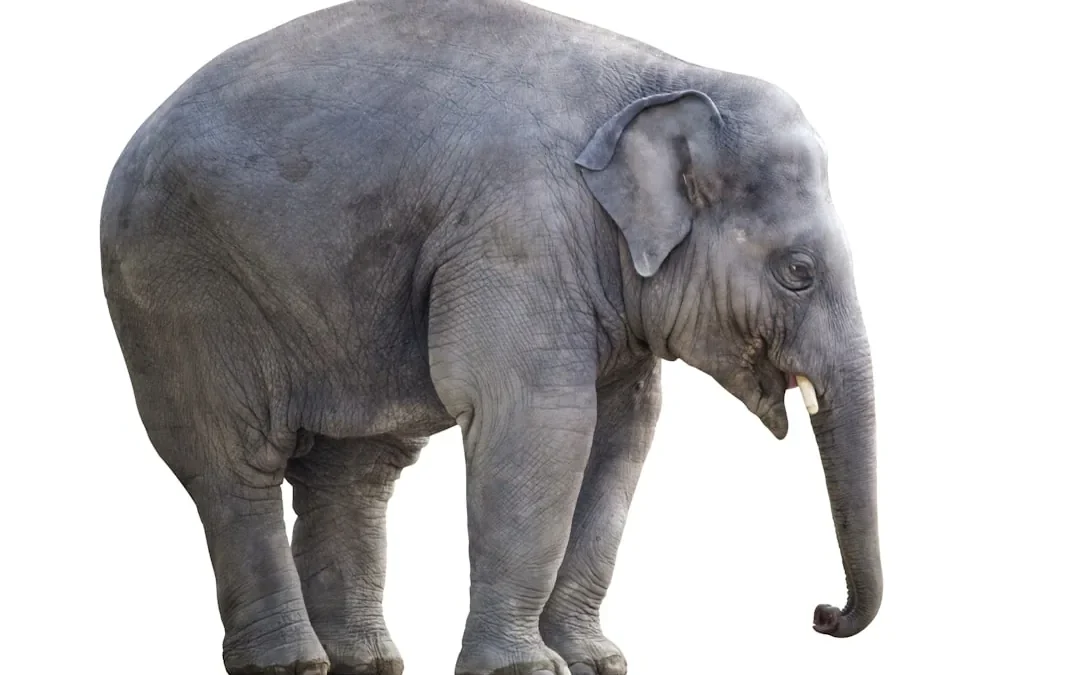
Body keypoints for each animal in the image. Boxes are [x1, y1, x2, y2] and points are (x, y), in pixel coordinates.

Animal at [99, 0, 881, 673]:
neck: (669, 77)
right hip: (181, 289)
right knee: (235, 464)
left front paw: (595, 663)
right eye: (799, 272)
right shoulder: (518, 231)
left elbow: (623, 435)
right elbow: (542, 420)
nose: (821, 614)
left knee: (357, 470)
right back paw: (289, 663)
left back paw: (364, 662)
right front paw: (527, 669)